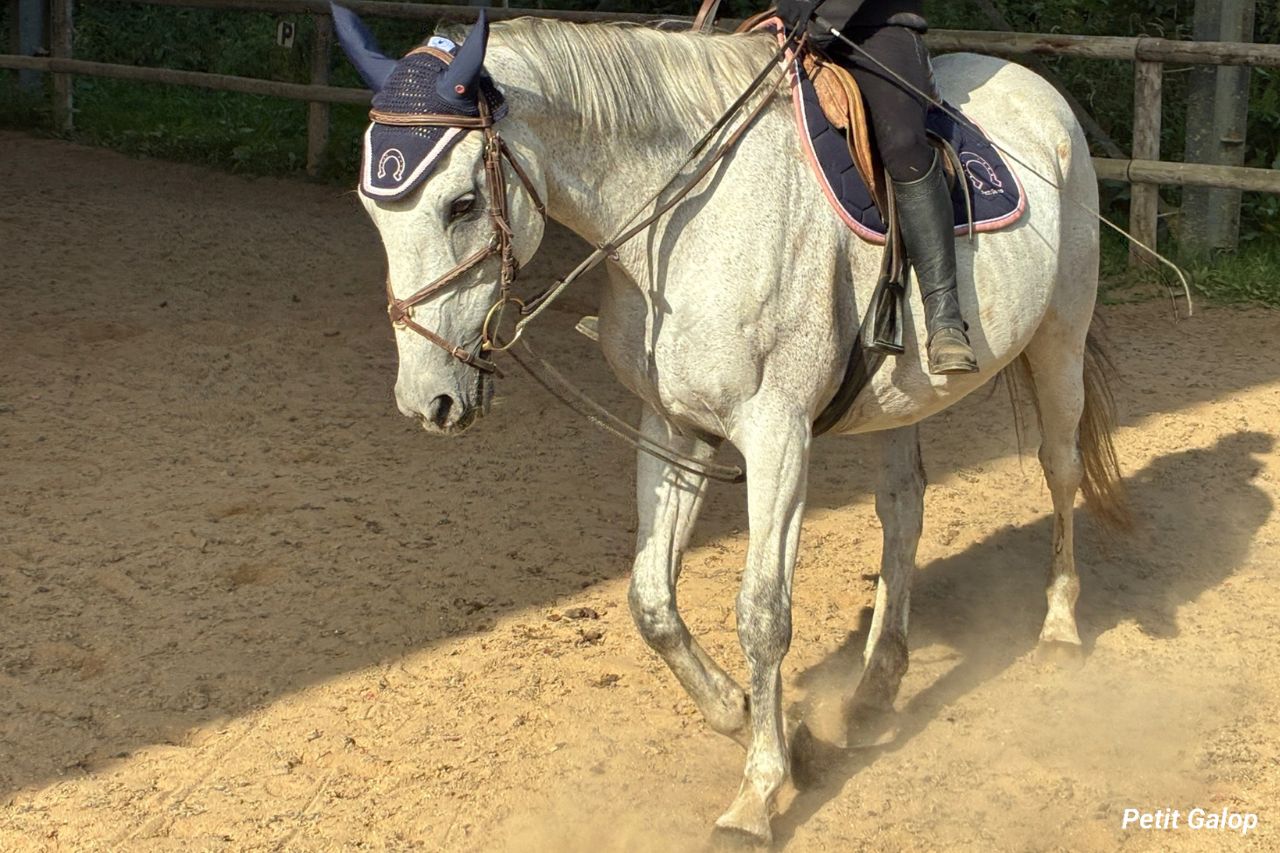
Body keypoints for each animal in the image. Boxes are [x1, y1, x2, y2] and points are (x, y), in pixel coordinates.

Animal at [334, 10, 1126, 844]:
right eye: (371, 207)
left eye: (460, 204)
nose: (427, 399)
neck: (684, 217)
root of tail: (1042, 91)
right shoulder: (674, 427)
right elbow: (651, 600)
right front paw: (742, 713)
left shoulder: (778, 437)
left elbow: (763, 613)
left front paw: (757, 792)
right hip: (903, 397)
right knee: (904, 510)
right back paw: (874, 690)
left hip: (1060, 341)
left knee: (1060, 468)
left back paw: (1059, 630)